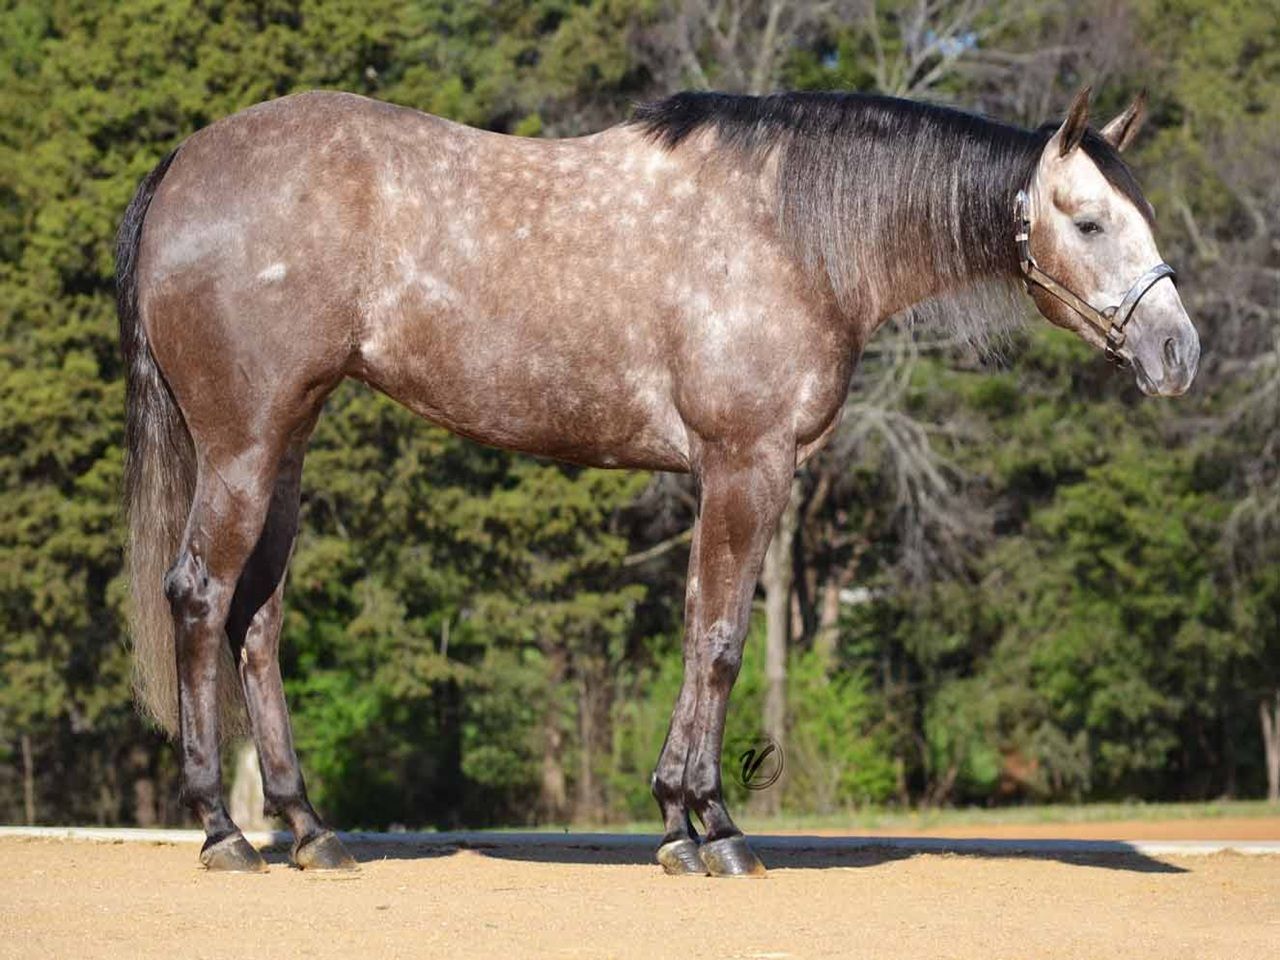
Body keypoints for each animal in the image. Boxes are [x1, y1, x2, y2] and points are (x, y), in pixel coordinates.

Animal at [116, 84, 1198, 876]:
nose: (1177, 352)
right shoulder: (748, 463)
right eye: (1089, 222)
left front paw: (679, 820)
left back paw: (310, 829)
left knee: (257, 620)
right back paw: (225, 832)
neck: (789, 232)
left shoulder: (725, 475)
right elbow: (719, 643)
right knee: (201, 597)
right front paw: (715, 828)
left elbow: (692, 629)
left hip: (287, 446)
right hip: (243, 447)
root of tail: (183, 164)